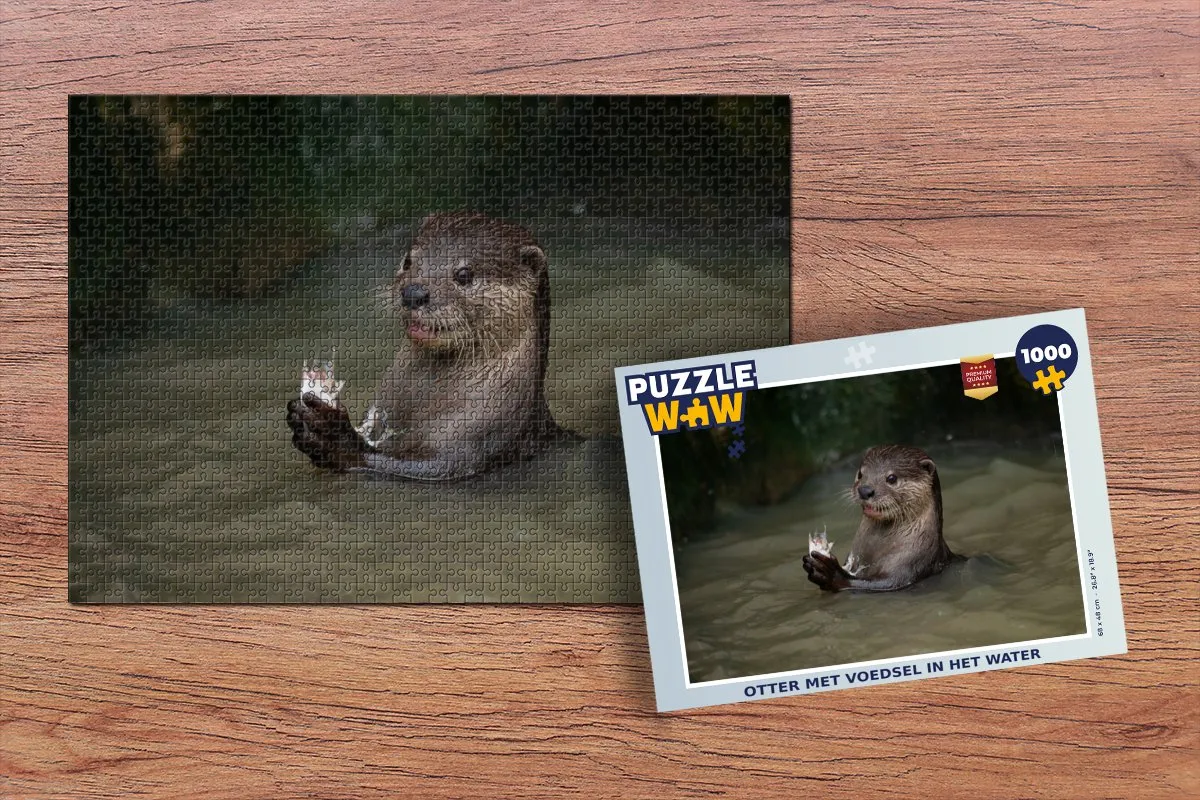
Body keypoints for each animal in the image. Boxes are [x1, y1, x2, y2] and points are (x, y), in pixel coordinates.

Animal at [286, 211, 575, 480]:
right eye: (408, 261)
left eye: (464, 274)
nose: (413, 293)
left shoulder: (473, 444)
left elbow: (412, 466)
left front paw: (332, 436)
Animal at [803, 445, 962, 592]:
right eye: (860, 474)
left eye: (892, 478)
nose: (865, 490)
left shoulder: (912, 563)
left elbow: (883, 583)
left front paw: (830, 573)